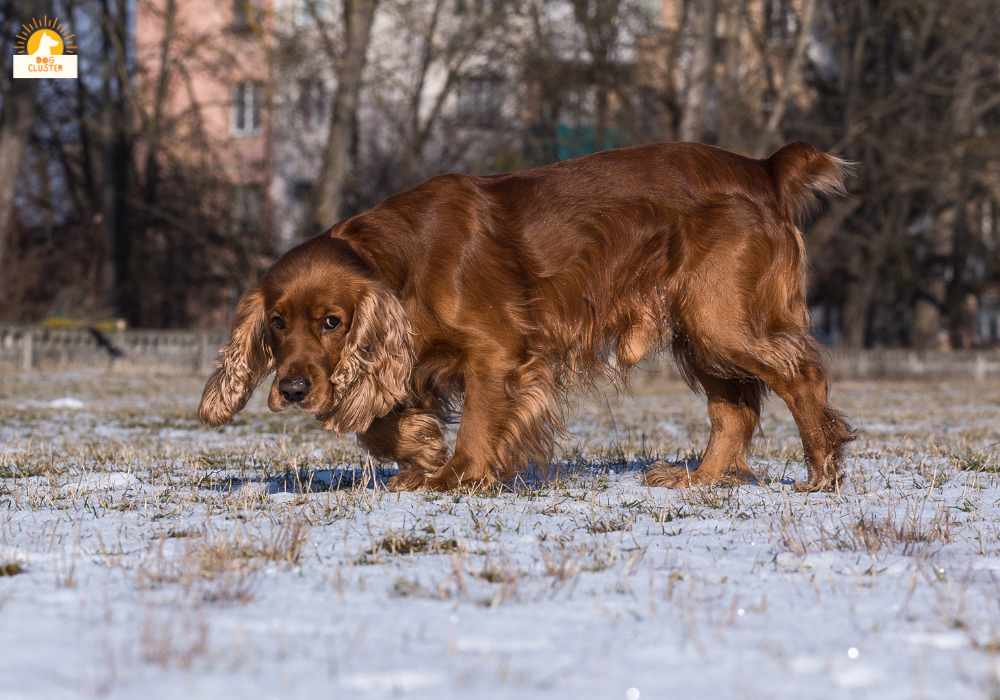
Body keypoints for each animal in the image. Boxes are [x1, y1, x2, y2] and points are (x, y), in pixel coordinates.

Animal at [201, 142, 852, 492]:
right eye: (278, 322)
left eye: (332, 322)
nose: (292, 390)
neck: (404, 259)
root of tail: (763, 167)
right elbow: (379, 425)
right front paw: (421, 450)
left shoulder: (498, 350)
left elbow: (479, 422)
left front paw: (454, 475)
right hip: (699, 328)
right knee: (734, 410)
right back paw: (699, 478)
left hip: (720, 321)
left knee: (799, 375)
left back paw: (822, 473)